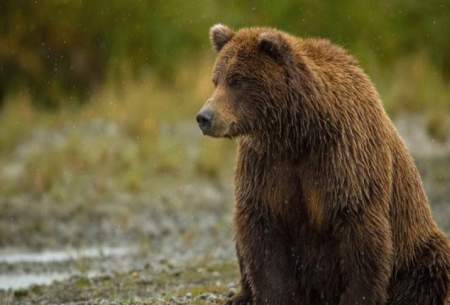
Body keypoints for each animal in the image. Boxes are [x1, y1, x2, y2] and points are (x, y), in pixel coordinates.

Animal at [196, 24, 450, 304]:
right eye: (216, 80)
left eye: (236, 80)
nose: (204, 117)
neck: (298, 134)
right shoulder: (266, 165)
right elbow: (262, 232)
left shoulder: (344, 160)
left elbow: (360, 233)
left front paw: (358, 297)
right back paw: (240, 296)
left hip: (416, 244)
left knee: (430, 264)